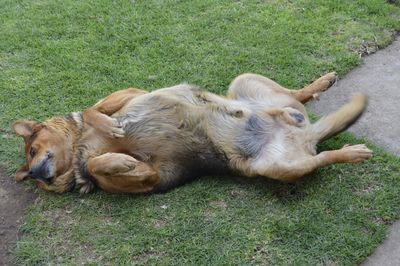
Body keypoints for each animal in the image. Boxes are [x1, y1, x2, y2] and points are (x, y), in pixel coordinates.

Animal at [13, 72, 376, 193]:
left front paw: (109, 132)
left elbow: (94, 111)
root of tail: (307, 135)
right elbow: (102, 164)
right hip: (276, 167)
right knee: (320, 157)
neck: (78, 147)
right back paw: (350, 152)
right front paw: (124, 163)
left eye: (31, 150)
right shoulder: (154, 178)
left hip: (243, 82)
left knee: (297, 97)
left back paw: (320, 85)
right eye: (30, 176)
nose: (34, 174)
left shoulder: (130, 94)